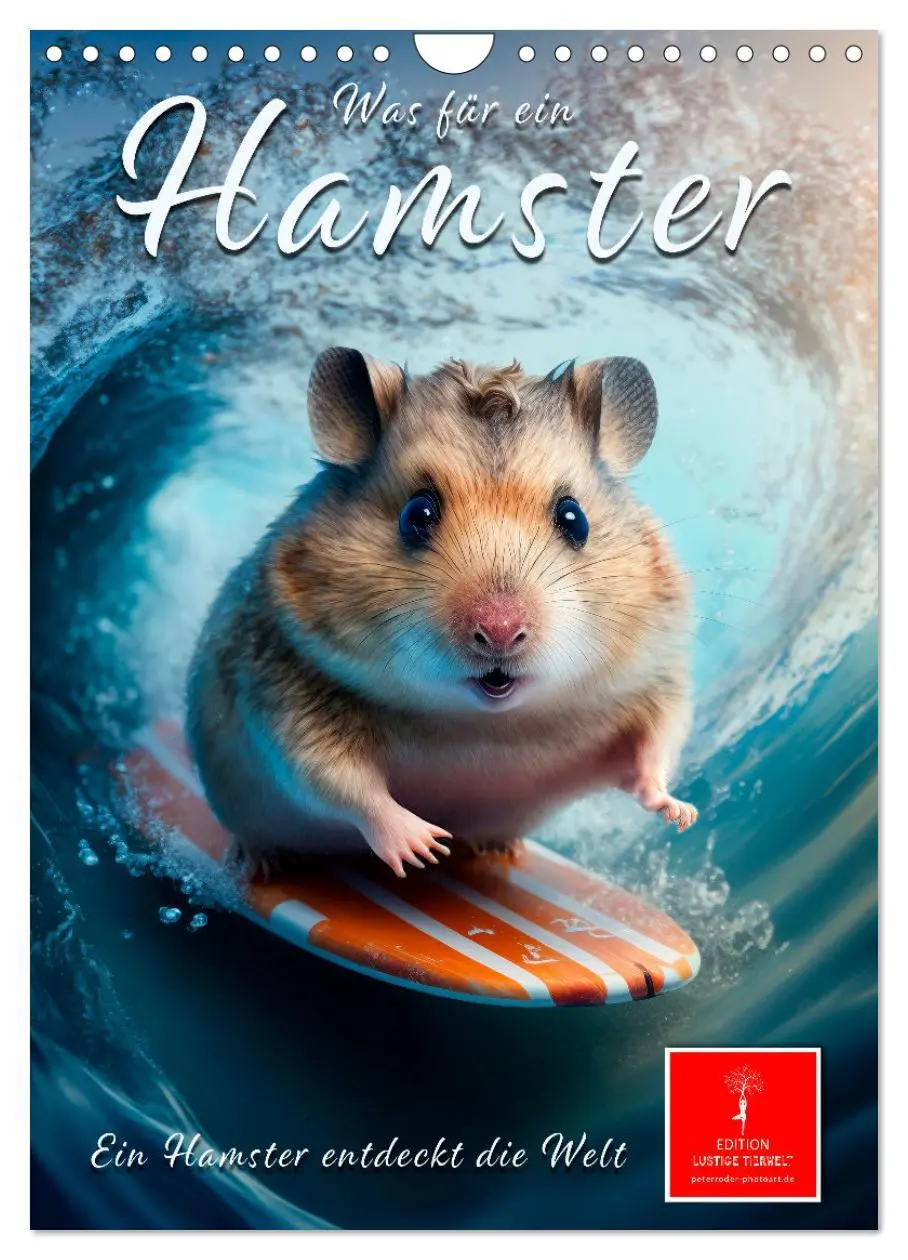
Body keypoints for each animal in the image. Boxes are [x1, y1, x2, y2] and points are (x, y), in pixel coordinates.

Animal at [186, 347, 697, 880]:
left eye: (575, 519)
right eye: (416, 514)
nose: (499, 632)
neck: (485, 723)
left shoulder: (659, 682)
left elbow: (656, 748)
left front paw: (681, 813)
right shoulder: (285, 698)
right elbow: (340, 782)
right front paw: (427, 846)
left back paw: (500, 848)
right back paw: (256, 865)